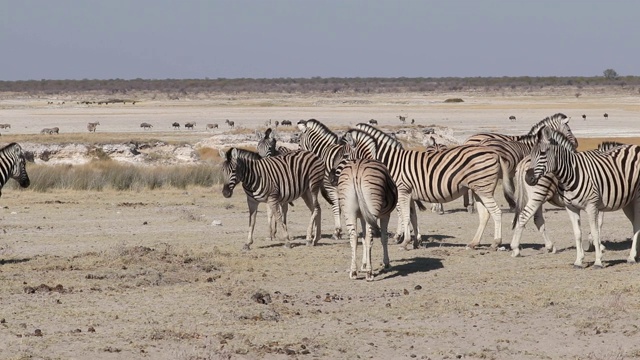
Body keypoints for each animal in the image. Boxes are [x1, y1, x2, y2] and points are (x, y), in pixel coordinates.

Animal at [342, 129, 512, 250]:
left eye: (344, 155)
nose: (338, 175)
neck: (391, 163)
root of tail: (494, 152)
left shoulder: (403, 191)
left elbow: (405, 216)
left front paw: (405, 242)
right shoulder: (410, 193)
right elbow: (413, 217)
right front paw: (416, 242)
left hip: (484, 189)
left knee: (496, 212)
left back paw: (496, 243)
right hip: (478, 190)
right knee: (485, 215)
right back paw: (473, 243)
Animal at [524, 126, 640, 268]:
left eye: (543, 153)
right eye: (531, 153)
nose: (528, 178)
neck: (570, 174)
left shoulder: (592, 206)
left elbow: (595, 231)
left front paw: (598, 261)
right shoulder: (570, 208)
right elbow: (577, 233)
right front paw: (579, 261)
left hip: (636, 199)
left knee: (636, 224)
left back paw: (632, 257)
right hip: (628, 202)